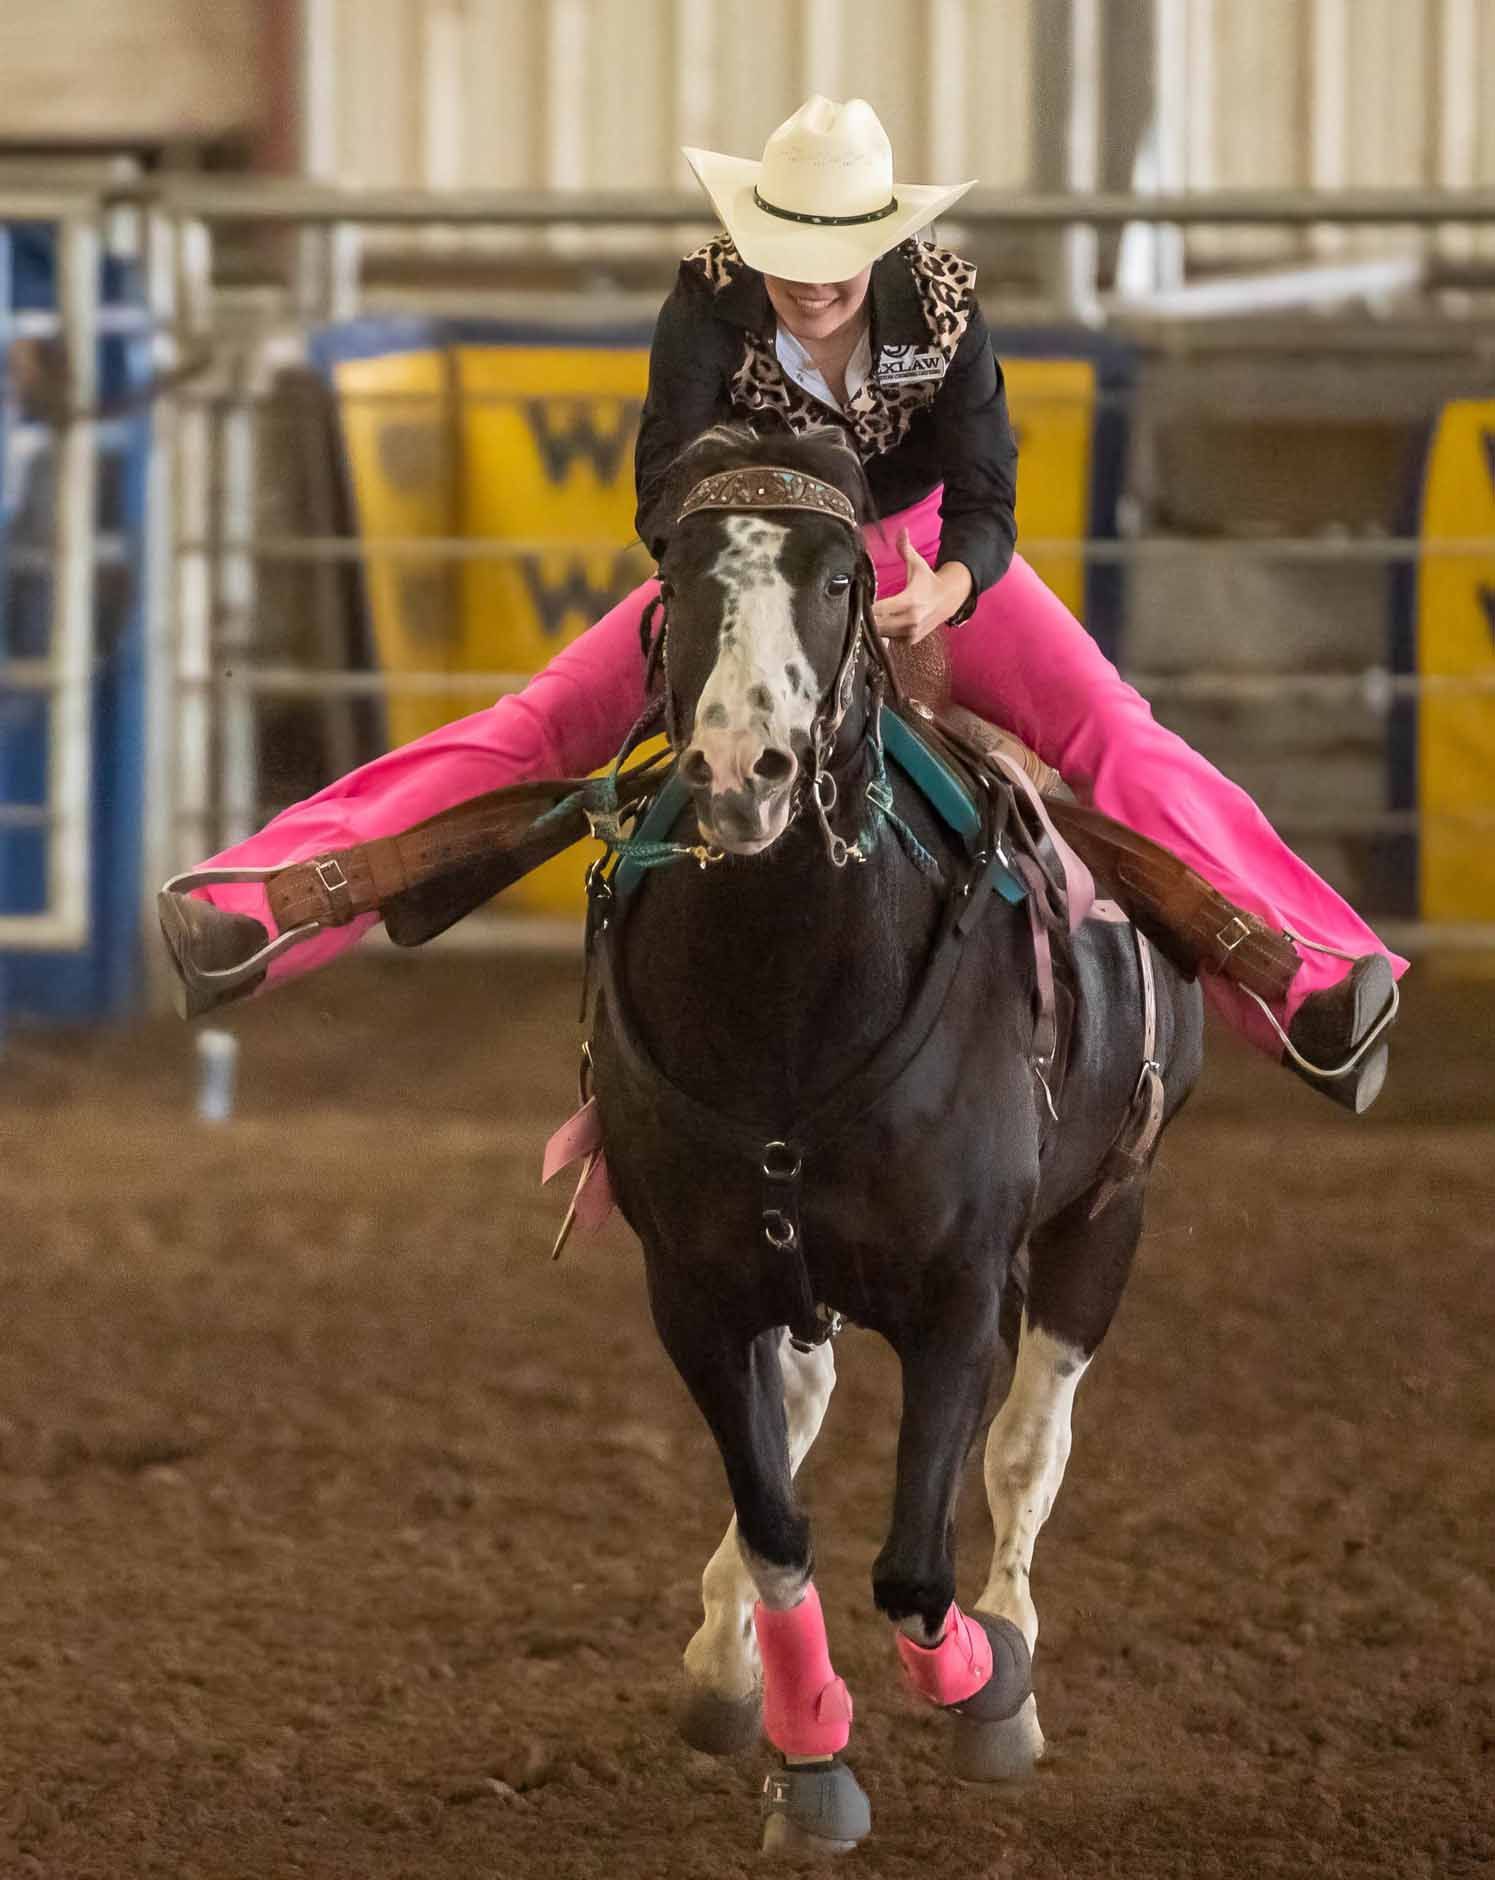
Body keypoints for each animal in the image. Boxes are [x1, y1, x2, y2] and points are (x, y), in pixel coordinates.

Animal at [590, 423, 1211, 1849]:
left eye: (835, 579)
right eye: (679, 576)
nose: (741, 771)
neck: (786, 995)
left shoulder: (959, 1291)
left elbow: (918, 1564)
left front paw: (987, 1690)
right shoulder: (691, 1289)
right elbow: (778, 1521)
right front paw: (802, 1740)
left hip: (1106, 1214)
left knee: (1030, 1444)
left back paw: (1011, 1640)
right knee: (801, 1419)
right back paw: (725, 1662)